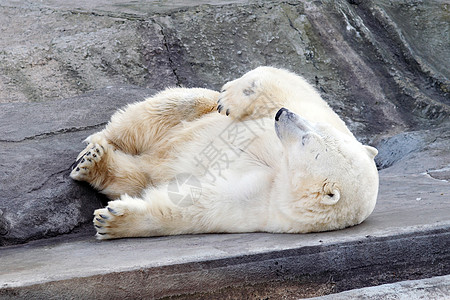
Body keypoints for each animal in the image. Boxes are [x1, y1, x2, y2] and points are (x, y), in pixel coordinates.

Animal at [71, 66, 380, 239]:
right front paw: (232, 96)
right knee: (177, 105)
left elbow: (191, 206)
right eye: (314, 129)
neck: (281, 172)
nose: (284, 115)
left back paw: (94, 163)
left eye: (306, 141)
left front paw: (112, 220)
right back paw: (97, 143)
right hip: (183, 118)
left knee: (139, 175)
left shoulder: (261, 205)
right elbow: (284, 84)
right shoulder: (299, 119)